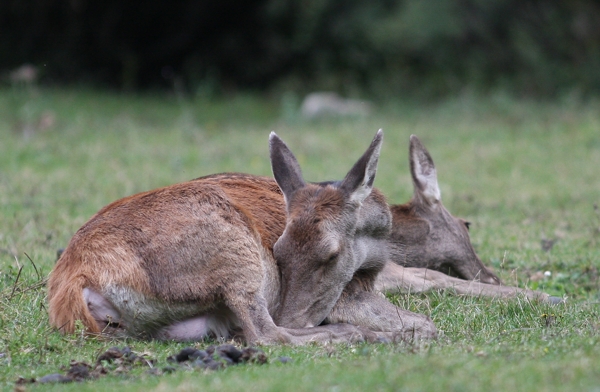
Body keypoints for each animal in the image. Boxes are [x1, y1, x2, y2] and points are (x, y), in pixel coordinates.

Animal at [48, 130, 436, 344]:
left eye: (330, 254)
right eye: (278, 251)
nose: (291, 315)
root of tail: (76, 279)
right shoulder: (346, 295)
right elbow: (426, 322)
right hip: (235, 257)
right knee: (267, 335)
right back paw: (366, 336)